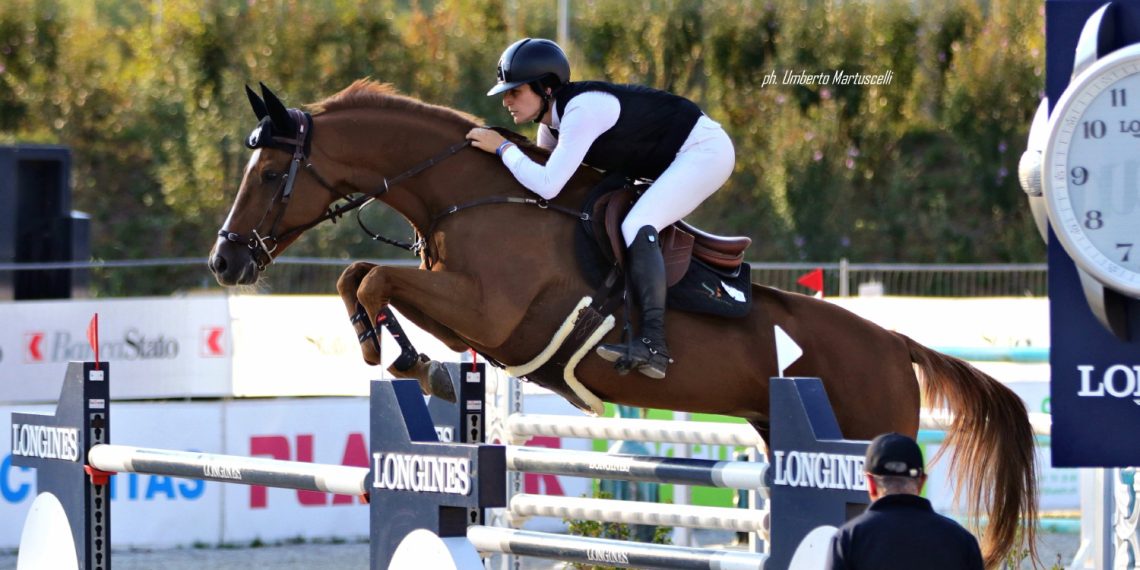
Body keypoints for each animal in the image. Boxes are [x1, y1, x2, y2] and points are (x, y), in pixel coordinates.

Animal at [209, 80, 1036, 568]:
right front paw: (409, 358)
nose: (225, 261)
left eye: (271, 173)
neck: (472, 196)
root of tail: (896, 342)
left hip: (862, 443)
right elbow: (358, 276)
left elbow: (375, 276)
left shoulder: (489, 311)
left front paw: (411, 361)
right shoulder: (471, 313)